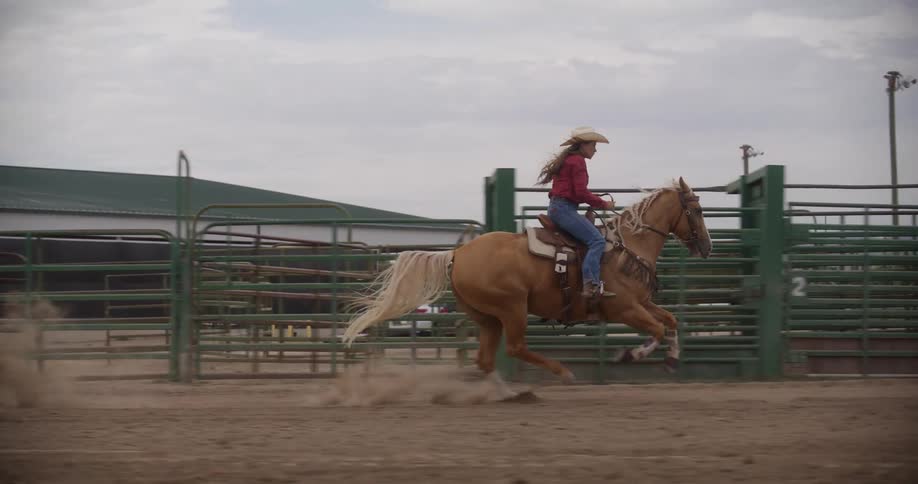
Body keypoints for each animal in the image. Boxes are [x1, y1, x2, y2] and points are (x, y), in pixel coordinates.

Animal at [342, 177, 712, 398]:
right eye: (696, 209)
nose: (708, 247)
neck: (625, 247)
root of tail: (458, 254)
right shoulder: (624, 308)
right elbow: (656, 330)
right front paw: (629, 354)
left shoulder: (641, 303)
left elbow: (670, 322)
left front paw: (673, 360)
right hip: (512, 308)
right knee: (516, 348)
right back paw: (562, 374)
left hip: (487, 317)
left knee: (486, 359)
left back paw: (507, 394)